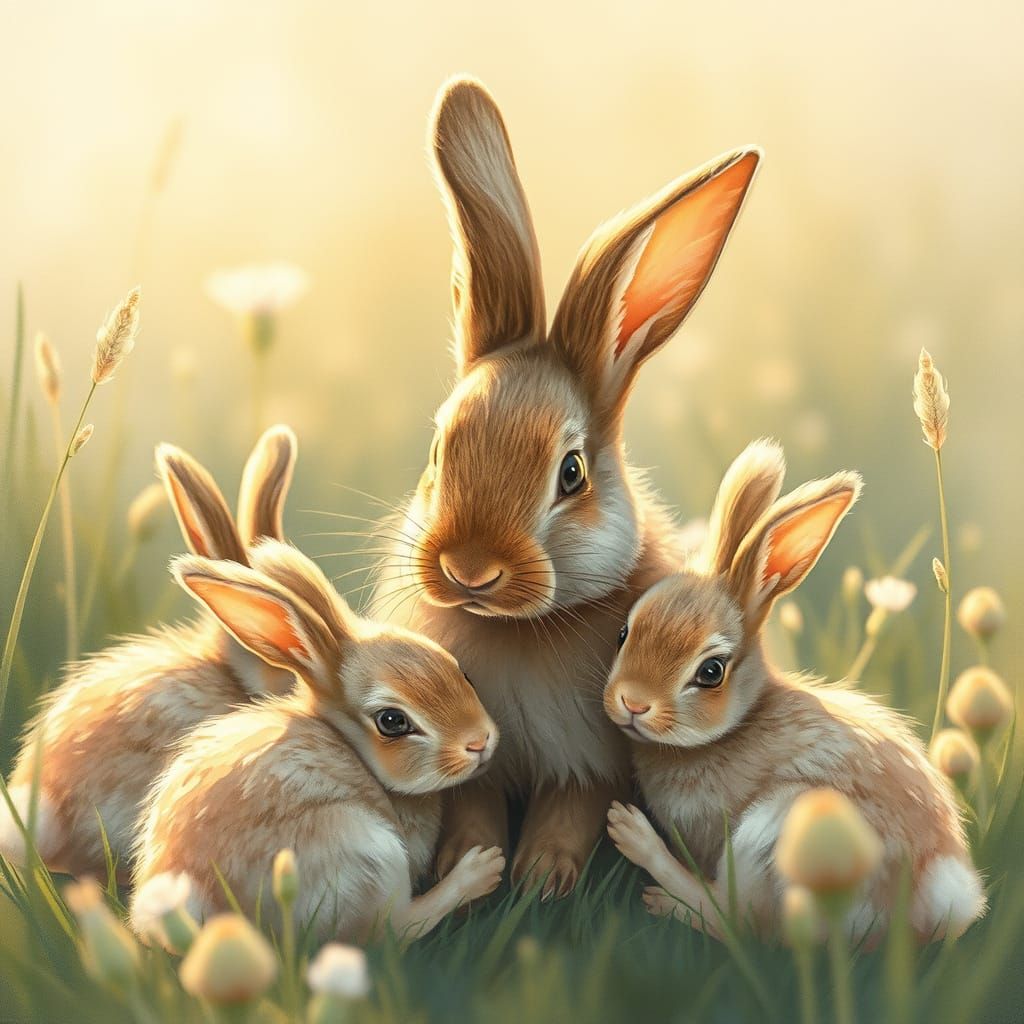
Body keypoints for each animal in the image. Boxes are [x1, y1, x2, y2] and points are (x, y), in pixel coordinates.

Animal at [130, 540, 504, 943]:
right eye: (392, 721)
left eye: (462, 672)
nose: (479, 742)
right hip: (367, 852)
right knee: (391, 929)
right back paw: (479, 870)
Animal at [371, 75, 761, 897]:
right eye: (438, 447)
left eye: (571, 473)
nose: (469, 569)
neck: (519, 628)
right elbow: (474, 804)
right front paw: (470, 867)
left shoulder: (592, 759)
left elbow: (572, 811)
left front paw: (542, 879)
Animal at [604, 441, 985, 942]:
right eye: (624, 632)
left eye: (711, 671)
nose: (632, 702)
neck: (733, 728)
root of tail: (927, 902)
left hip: (775, 831)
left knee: (746, 923)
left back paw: (642, 854)